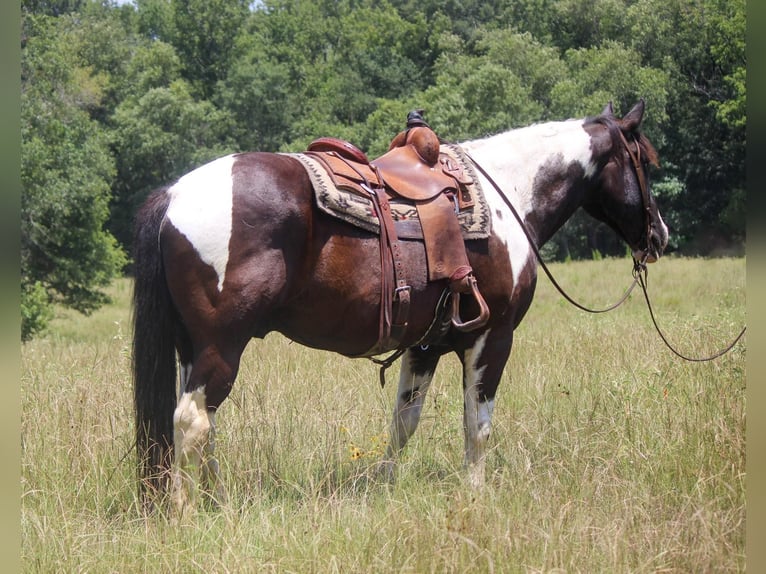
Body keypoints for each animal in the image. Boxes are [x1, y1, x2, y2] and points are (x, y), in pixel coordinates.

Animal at [134, 100, 672, 516]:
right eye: (646, 161)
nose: (660, 235)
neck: (509, 199)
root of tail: (174, 196)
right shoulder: (492, 338)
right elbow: (477, 424)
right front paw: (474, 495)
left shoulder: (425, 345)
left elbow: (403, 423)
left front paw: (384, 488)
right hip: (221, 345)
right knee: (192, 420)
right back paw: (186, 512)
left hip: (193, 349)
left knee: (202, 424)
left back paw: (217, 501)